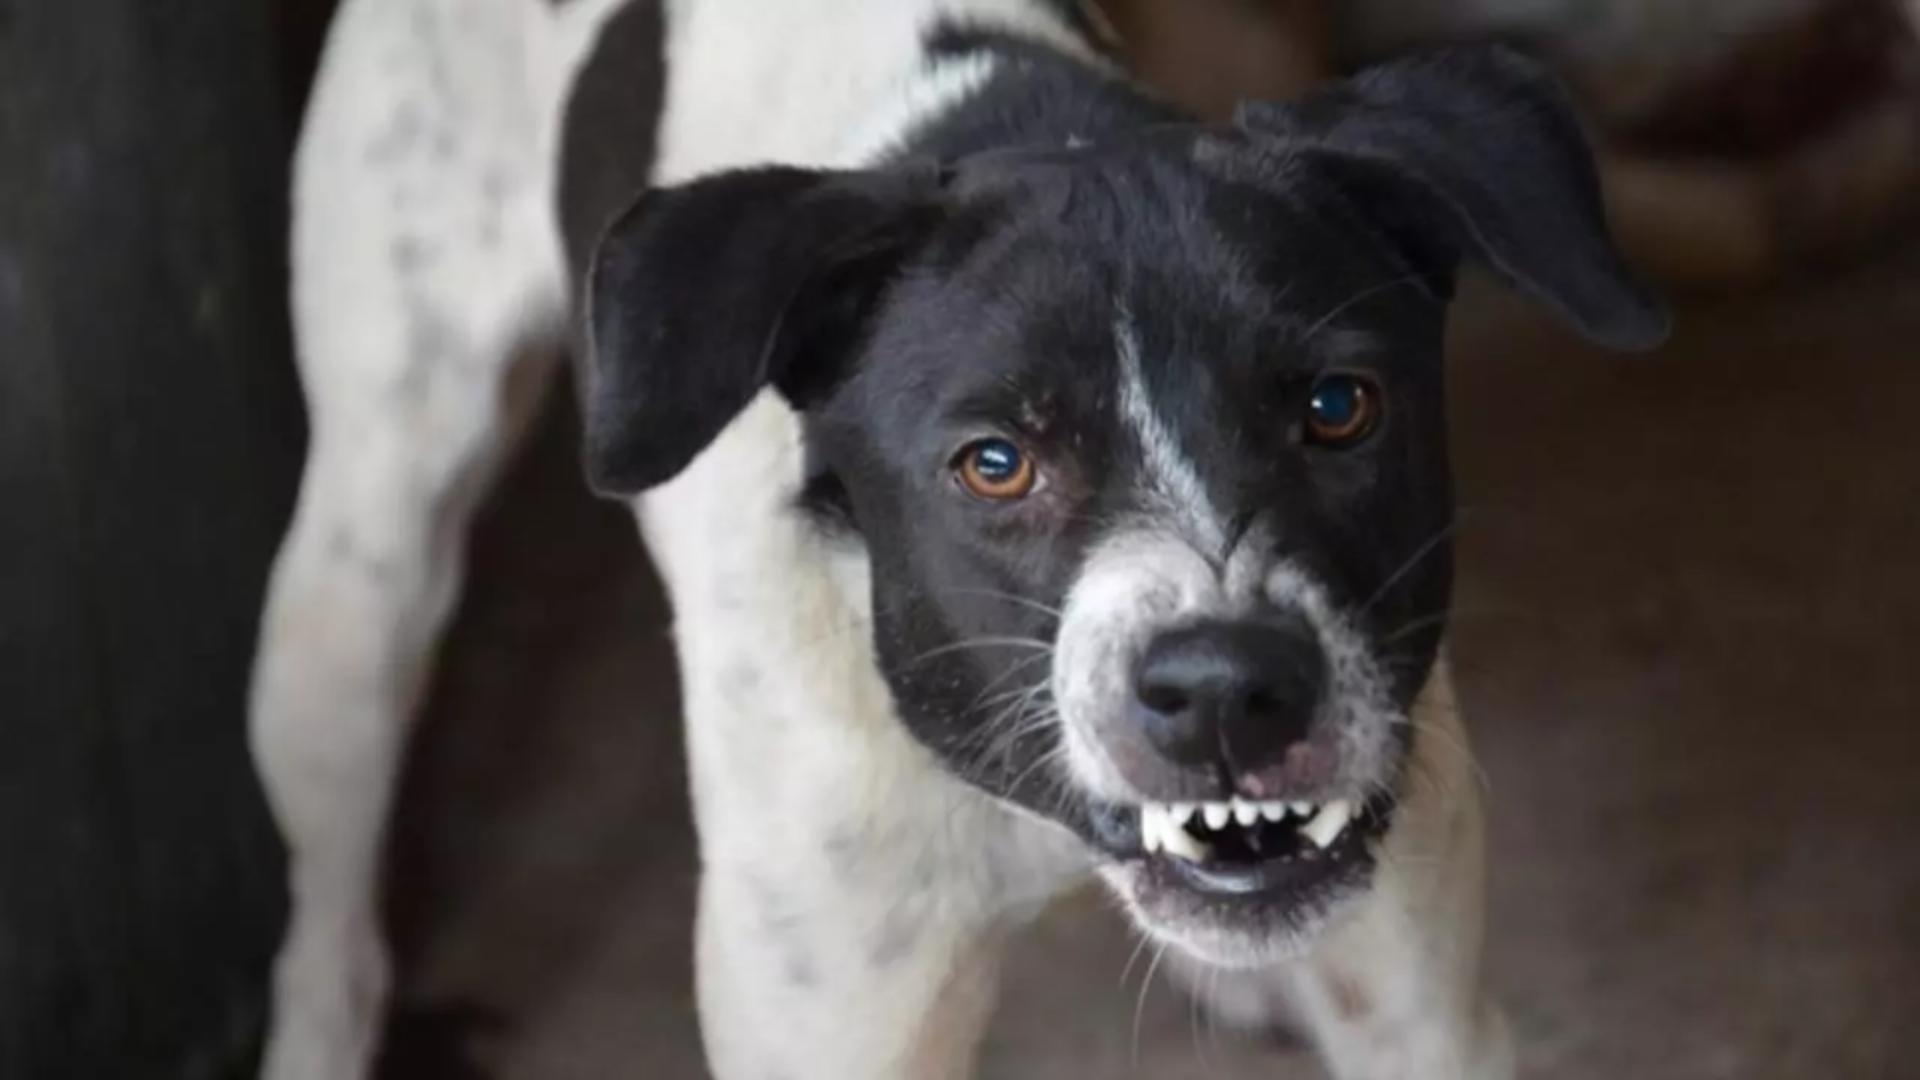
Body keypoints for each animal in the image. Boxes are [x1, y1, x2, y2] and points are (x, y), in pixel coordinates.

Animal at [255, 2, 1666, 1076]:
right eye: (994, 463)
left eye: (1338, 408)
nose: (1227, 690)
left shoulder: (1423, 1012)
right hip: (358, 574)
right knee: (328, 907)